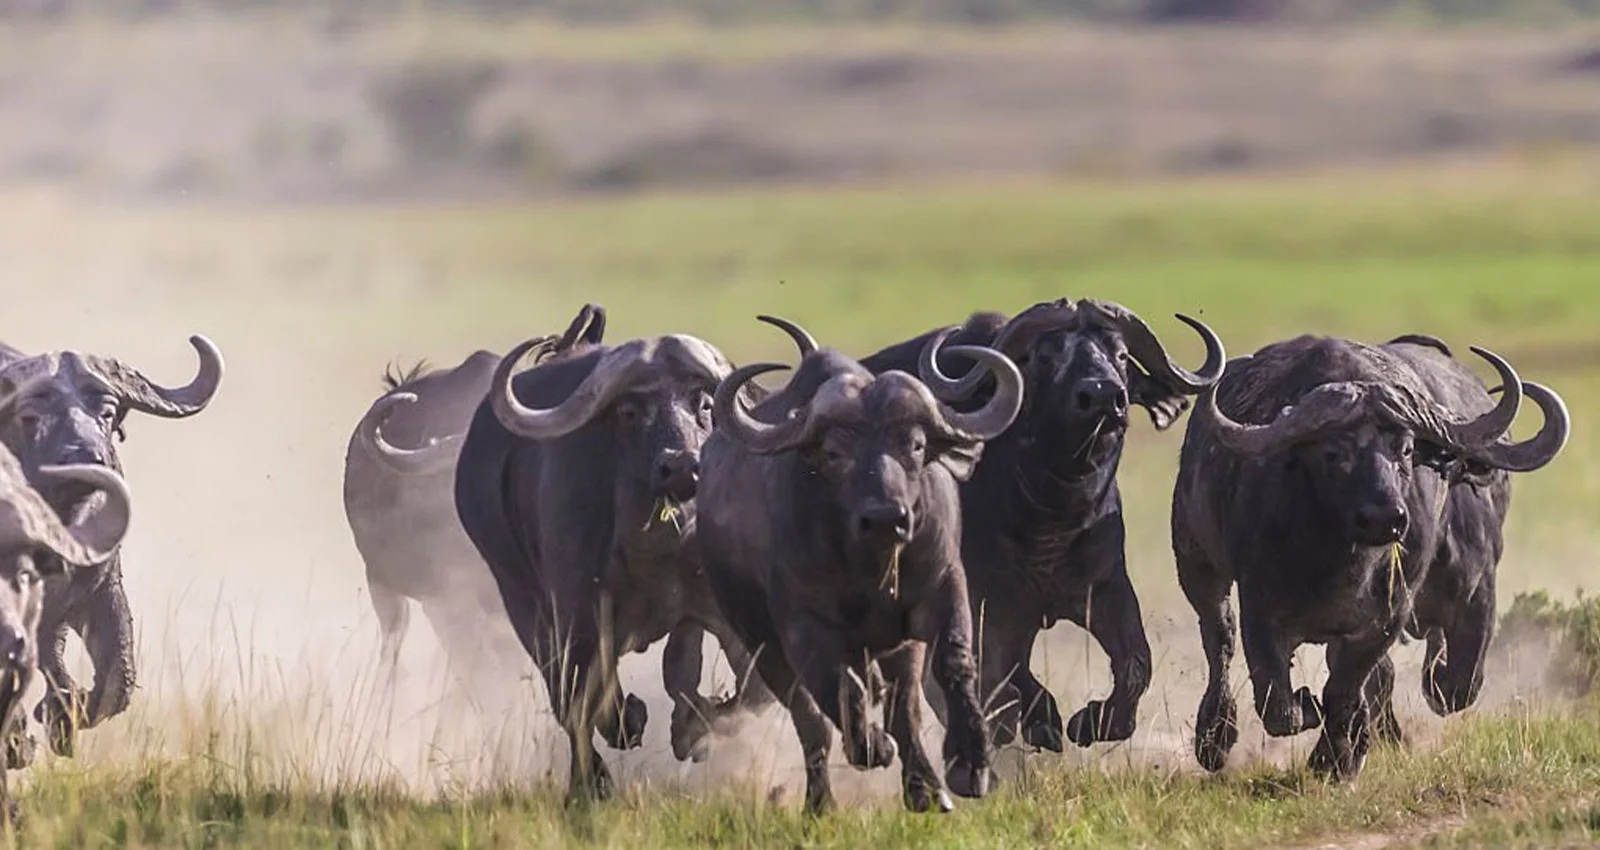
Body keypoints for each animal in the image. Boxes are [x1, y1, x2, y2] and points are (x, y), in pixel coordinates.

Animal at [0, 336, 222, 758]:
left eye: (106, 412)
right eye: (30, 415)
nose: (87, 456)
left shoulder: (100, 591)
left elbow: (117, 680)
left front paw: (65, 716)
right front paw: (27, 732)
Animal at [451, 321, 773, 801]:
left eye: (704, 404)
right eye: (629, 412)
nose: (682, 467)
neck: (654, 551)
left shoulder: (717, 612)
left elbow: (749, 692)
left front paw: (690, 729)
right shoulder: (578, 616)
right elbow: (585, 699)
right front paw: (621, 736)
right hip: (520, 599)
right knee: (566, 695)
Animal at [699, 318, 1023, 814]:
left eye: (916, 445)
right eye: (834, 453)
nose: (887, 517)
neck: (870, 570)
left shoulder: (943, 587)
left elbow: (952, 664)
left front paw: (970, 763)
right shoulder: (802, 625)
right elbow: (836, 689)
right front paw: (872, 746)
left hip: (896, 647)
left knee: (904, 708)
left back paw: (926, 789)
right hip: (760, 643)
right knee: (812, 722)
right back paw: (823, 802)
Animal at [859, 298, 1225, 752]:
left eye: (1122, 355)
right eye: (1046, 356)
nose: (1104, 396)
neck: (1048, 520)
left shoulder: (1107, 588)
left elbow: (1136, 663)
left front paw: (1092, 722)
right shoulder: (988, 608)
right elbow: (1012, 675)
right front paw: (1046, 722)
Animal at [1173, 333, 1568, 778]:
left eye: (1406, 449)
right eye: (1332, 452)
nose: (1385, 518)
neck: (1342, 567)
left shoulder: (1407, 615)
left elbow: (1359, 689)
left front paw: (1335, 759)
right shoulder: (1260, 609)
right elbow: (1280, 705)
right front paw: (1313, 716)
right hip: (1194, 560)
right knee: (1217, 634)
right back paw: (1214, 739)